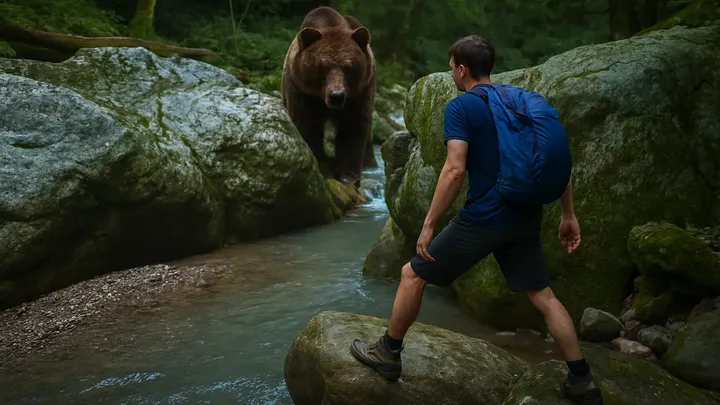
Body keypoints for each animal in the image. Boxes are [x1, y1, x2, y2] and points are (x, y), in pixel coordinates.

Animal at [281, 6, 376, 187]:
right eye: (322, 66)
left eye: (348, 67)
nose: (336, 95)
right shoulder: (302, 92)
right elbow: (307, 126)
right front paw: (321, 166)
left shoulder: (358, 96)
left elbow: (352, 129)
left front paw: (348, 175)